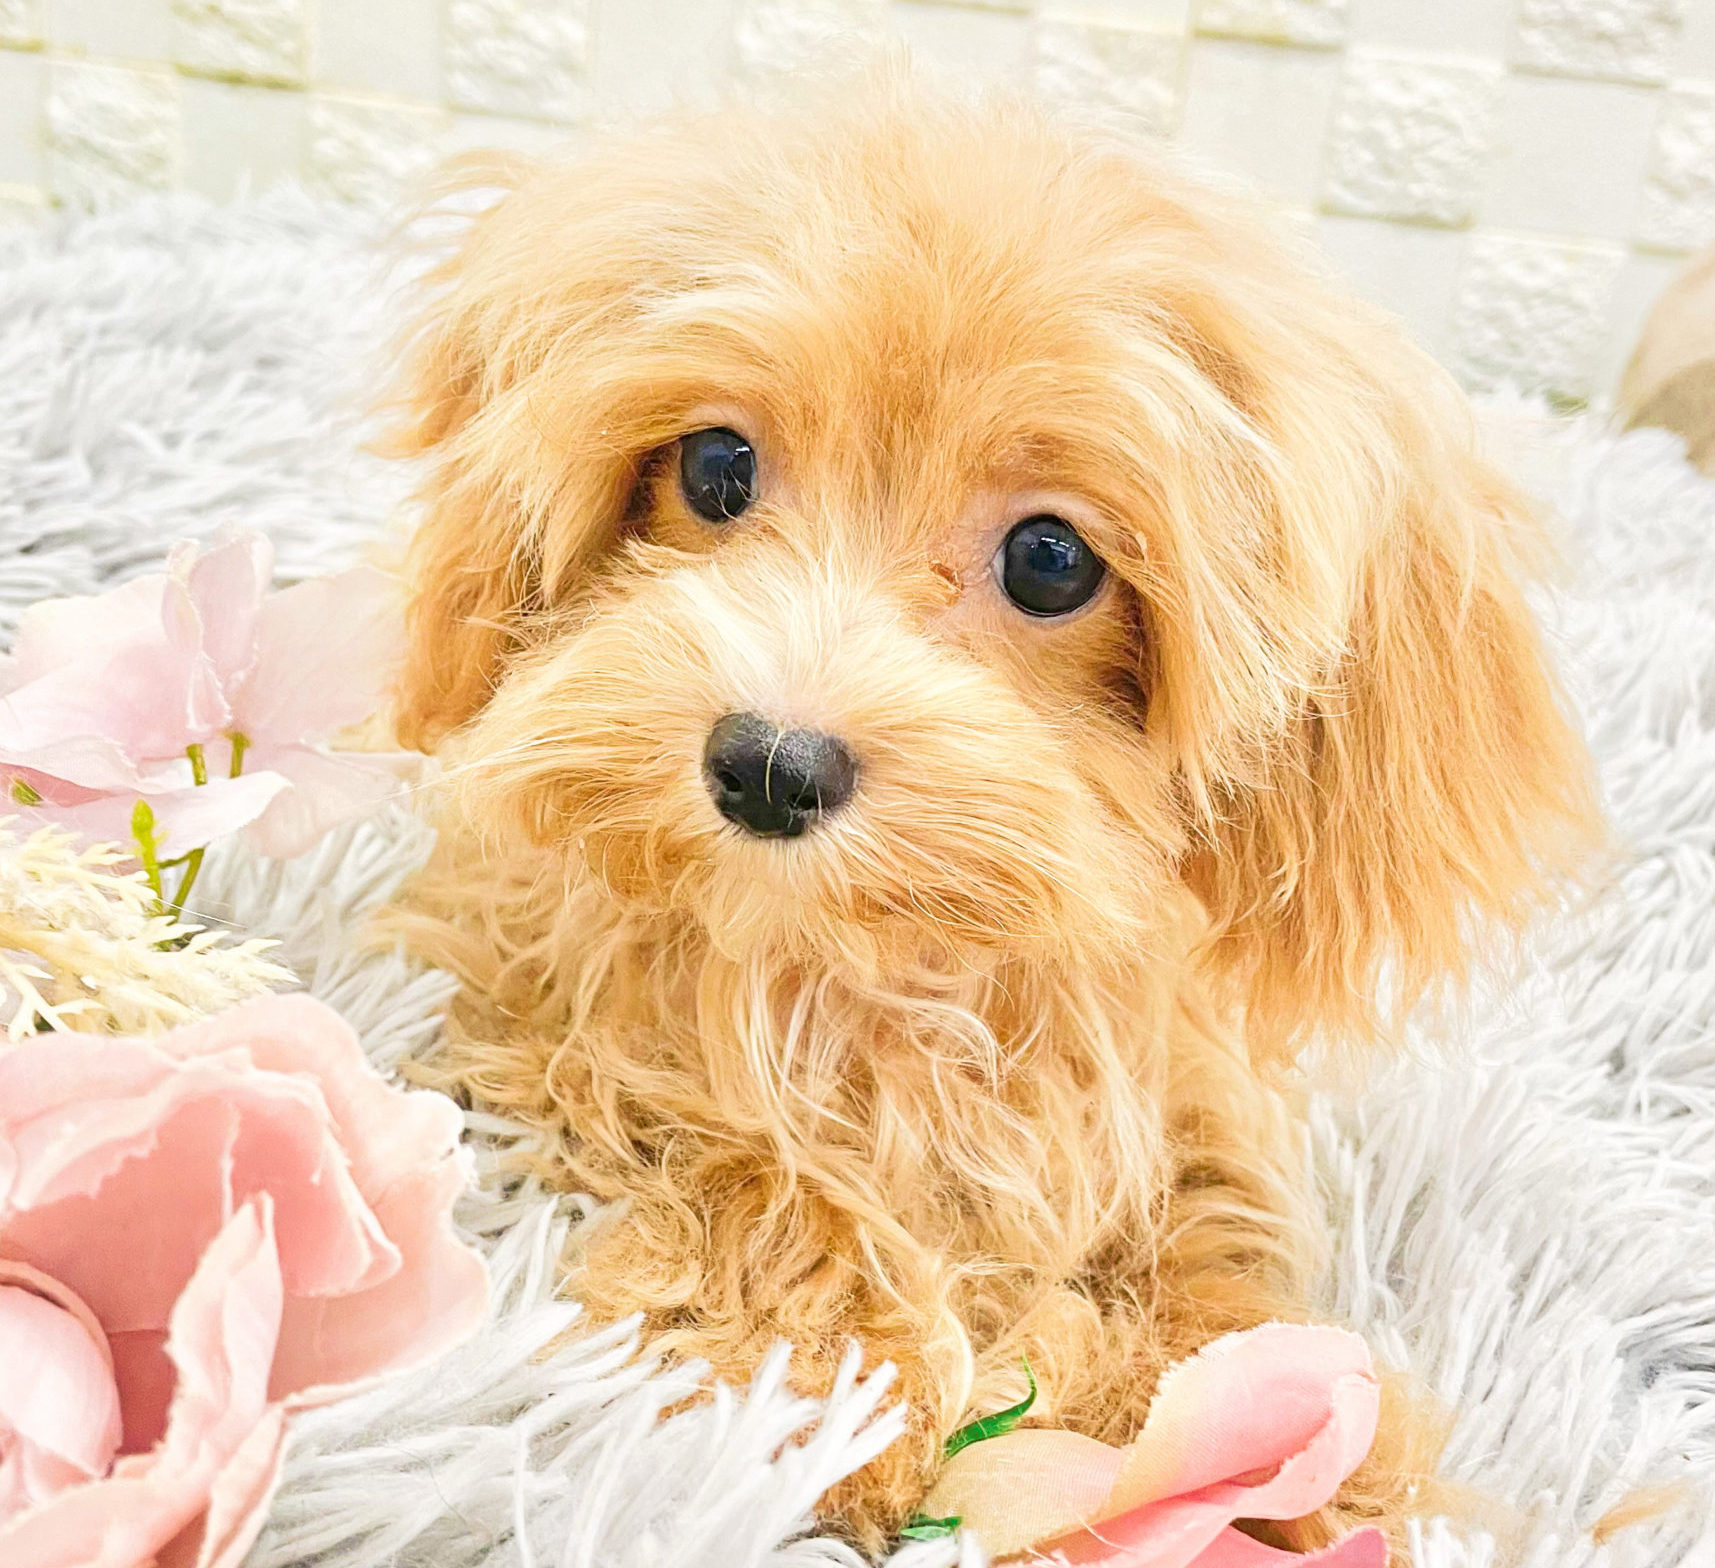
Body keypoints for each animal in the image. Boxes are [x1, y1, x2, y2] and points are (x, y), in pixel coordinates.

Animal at [386, 71, 1600, 1552]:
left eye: (1050, 558)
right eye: (716, 466)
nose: (768, 764)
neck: (867, 973)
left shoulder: (1167, 1081)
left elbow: (1208, 1245)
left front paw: (1318, 1458)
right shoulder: (533, 1003)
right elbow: (730, 1154)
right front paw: (845, 1381)